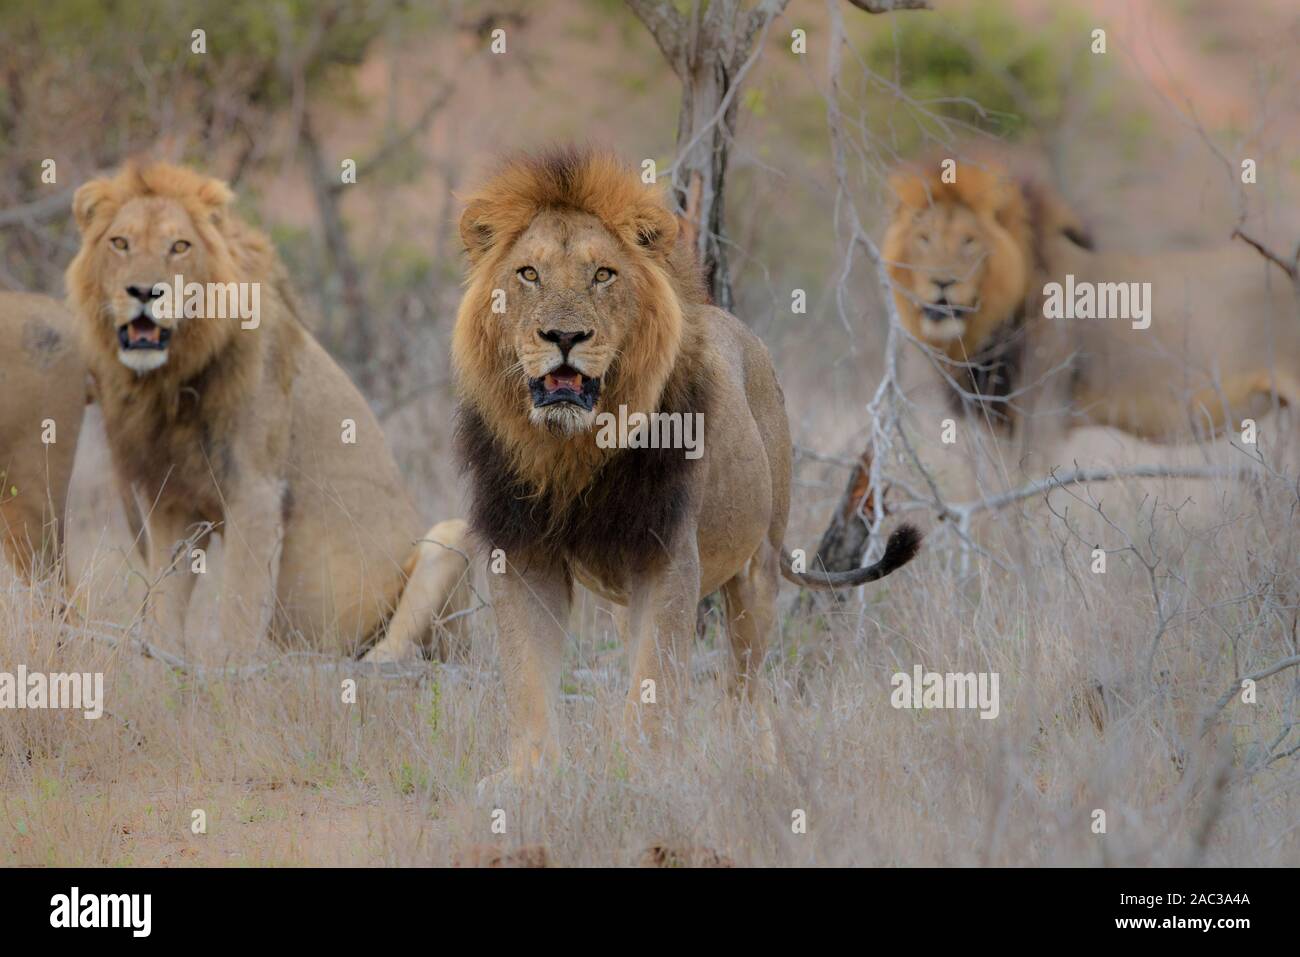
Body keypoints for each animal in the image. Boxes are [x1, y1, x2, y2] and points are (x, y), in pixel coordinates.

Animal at [65, 162, 473, 657]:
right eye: (120, 243)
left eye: (179, 246)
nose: (145, 292)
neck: (174, 376)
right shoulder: (174, 500)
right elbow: (165, 604)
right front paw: (165, 664)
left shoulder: (256, 493)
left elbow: (238, 614)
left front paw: (230, 673)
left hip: (450, 540)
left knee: (395, 651)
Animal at [452, 145, 920, 790]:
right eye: (528, 274)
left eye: (604, 274)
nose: (565, 336)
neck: (573, 449)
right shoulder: (522, 553)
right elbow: (528, 678)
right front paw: (529, 779)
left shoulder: (667, 555)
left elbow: (657, 683)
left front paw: (643, 778)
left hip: (757, 567)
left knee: (745, 685)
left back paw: (756, 763)